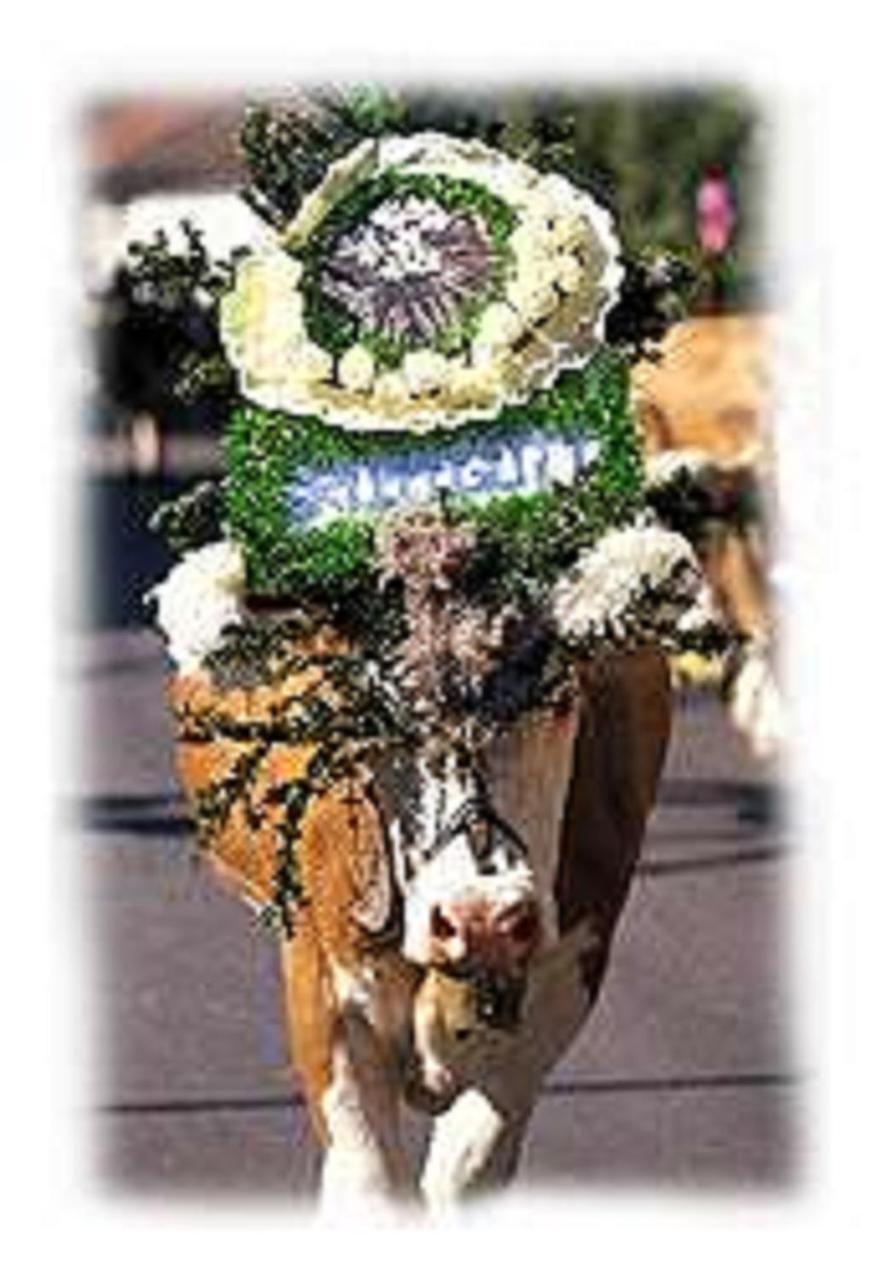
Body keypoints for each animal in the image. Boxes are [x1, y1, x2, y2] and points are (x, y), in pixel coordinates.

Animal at [142, 102, 722, 1208]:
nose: (481, 916)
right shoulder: (320, 994)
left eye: (555, 699)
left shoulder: (556, 989)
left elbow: (465, 1175)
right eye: (371, 714)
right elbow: (369, 1188)